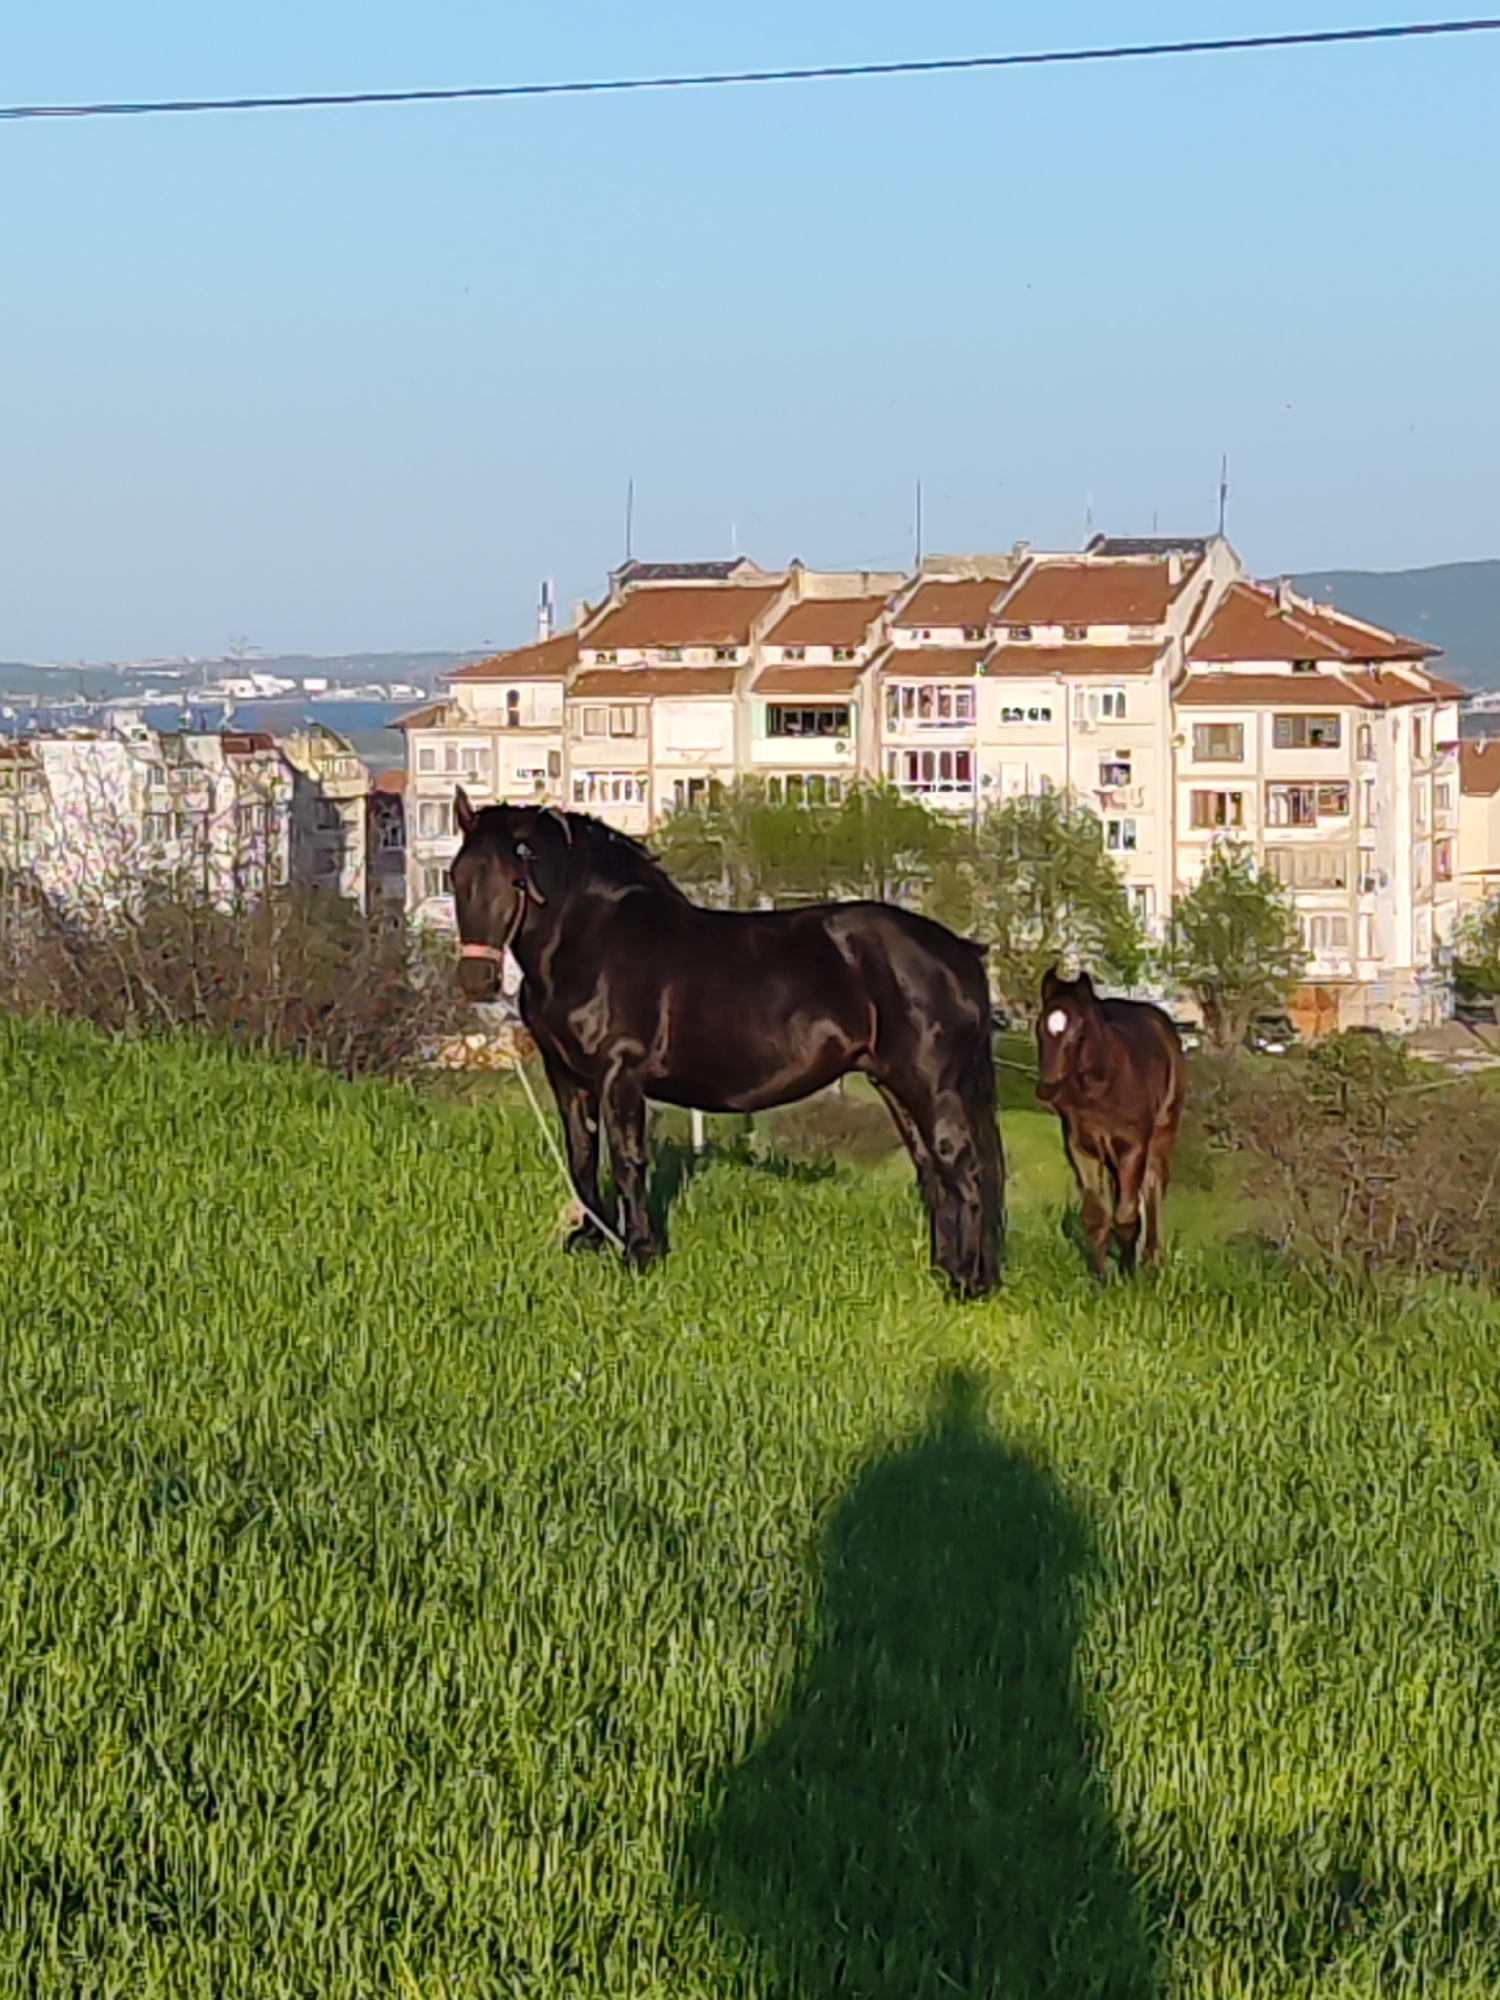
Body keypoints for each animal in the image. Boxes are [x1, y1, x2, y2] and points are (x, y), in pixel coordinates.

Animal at [448, 791, 1005, 1299]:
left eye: (516, 880)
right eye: (456, 875)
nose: (475, 980)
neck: (593, 943)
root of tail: (962, 952)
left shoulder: (619, 1075)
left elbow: (627, 1161)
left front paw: (638, 1253)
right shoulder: (568, 1078)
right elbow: (582, 1155)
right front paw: (588, 1239)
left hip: (932, 1086)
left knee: (964, 1169)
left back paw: (967, 1283)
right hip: (895, 1085)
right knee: (933, 1172)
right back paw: (945, 1272)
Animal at [1034, 966, 1186, 1278]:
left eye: (1080, 1035)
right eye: (1039, 1028)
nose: (1047, 1088)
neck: (1102, 1089)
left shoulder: (1133, 1146)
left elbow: (1127, 1214)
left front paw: (1127, 1276)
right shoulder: (1081, 1146)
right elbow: (1094, 1215)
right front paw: (1100, 1277)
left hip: (1161, 1135)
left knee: (1153, 1185)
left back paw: (1153, 1258)